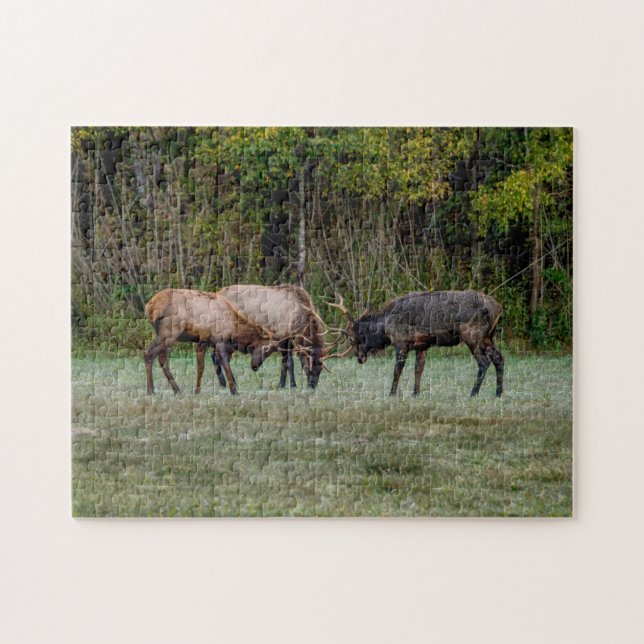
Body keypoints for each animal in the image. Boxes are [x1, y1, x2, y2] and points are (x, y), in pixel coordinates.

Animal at [144, 288, 280, 396]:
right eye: (266, 349)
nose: (255, 366)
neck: (235, 330)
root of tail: (150, 307)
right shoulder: (219, 341)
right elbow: (225, 364)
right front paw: (234, 390)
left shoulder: (202, 342)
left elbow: (201, 367)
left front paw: (197, 391)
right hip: (170, 332)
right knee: (150, 353)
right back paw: (152, 390)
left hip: (167, 335)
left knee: (162, 359)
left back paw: (175, 390)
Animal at [330, 290, 504, 397]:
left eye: (351, 339)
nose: (360, 358)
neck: (385, 327)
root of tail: (497, 308)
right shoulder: (422, 345)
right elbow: (418, 370)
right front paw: (415, 393)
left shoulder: (401, 342)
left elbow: (397, 370)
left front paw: (392, 393)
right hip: (488, 336)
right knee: (499, 358)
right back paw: (498, 393)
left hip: (472, 335)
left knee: (484, 361)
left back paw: (473, 393)